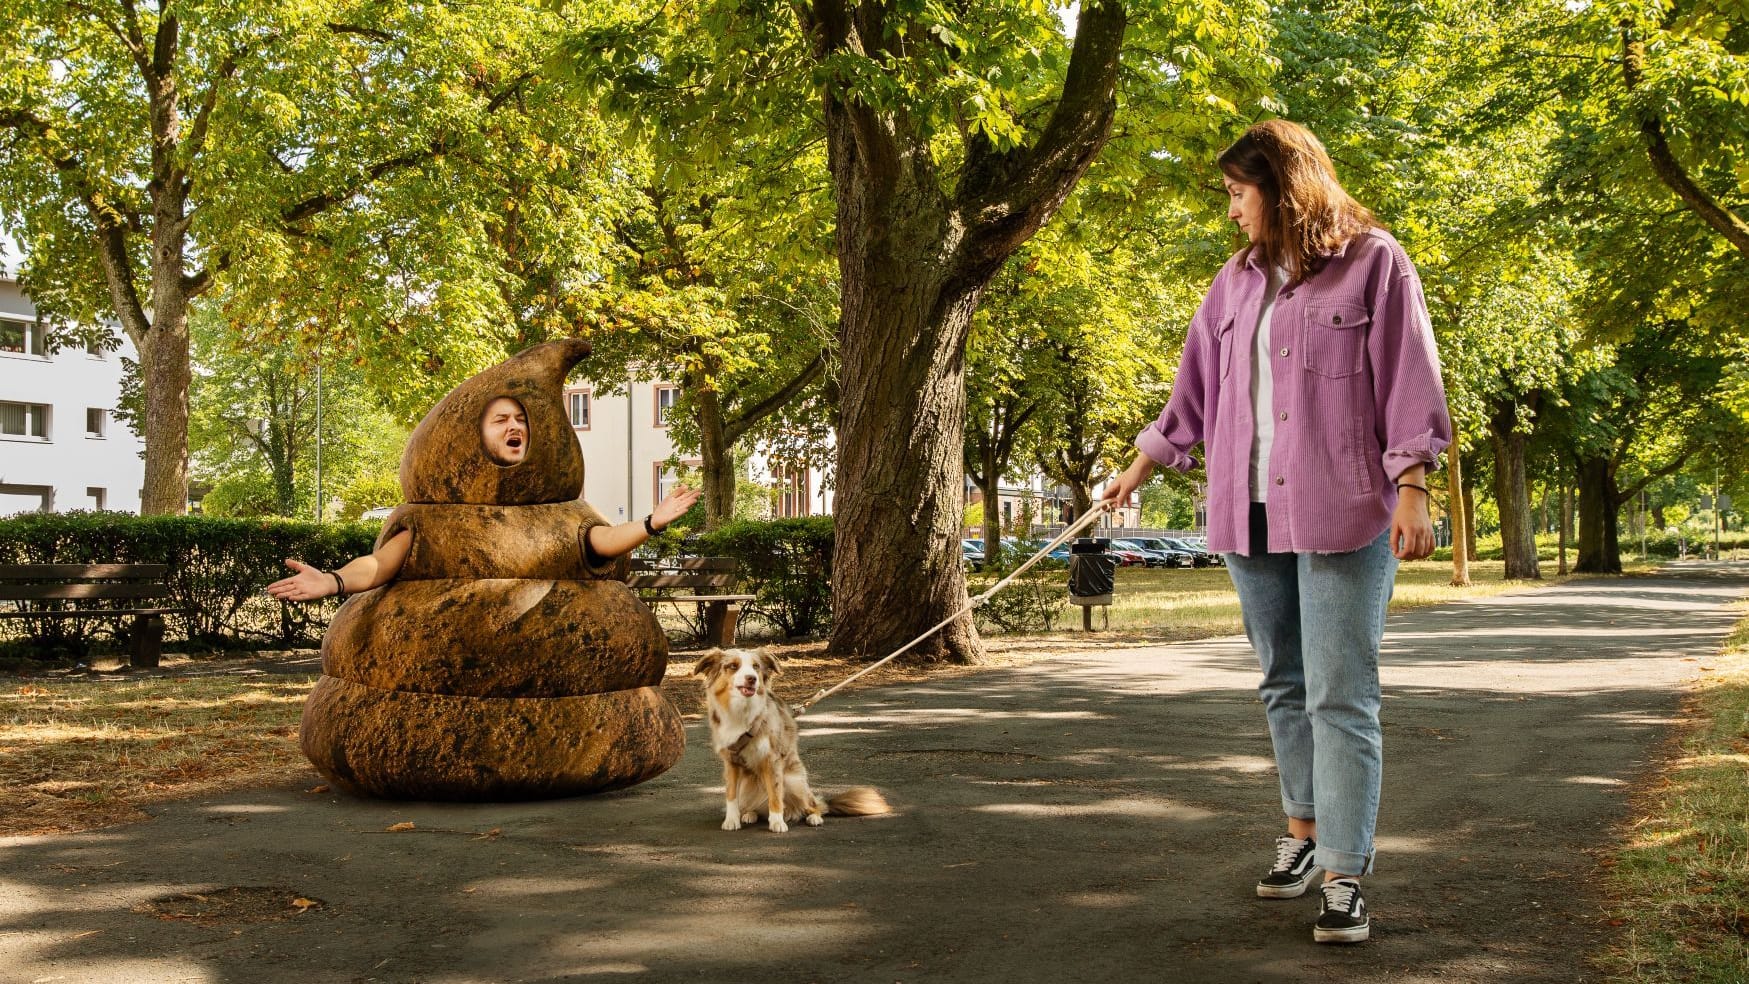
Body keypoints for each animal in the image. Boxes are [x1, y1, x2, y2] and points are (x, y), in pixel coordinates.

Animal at [692, 650, 895, 835]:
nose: (752, 679)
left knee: (815, 805)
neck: (742, 712)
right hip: (749, 786)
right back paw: (750, 814)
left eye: (756, 666)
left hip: (793, 781)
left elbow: (775, 795)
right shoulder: (731, 762)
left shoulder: (772, 760)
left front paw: (777, 823)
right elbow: (731, 795)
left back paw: (813, 817)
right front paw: (731, 820)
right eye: (733, 666)